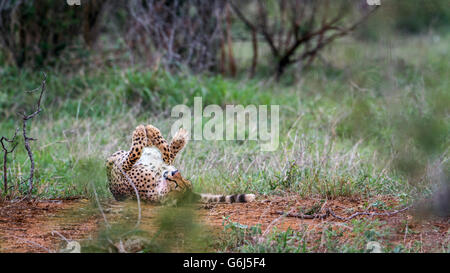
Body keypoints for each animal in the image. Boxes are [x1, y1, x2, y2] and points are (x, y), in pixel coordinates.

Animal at [104, 124, 253, 203]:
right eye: (182, 178)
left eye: (176, 185)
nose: (175, 172)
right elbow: (165, 152)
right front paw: (152, 132)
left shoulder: (122, 170)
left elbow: (135, 153)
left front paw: (141, 132)